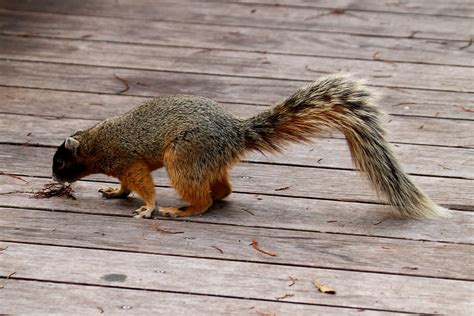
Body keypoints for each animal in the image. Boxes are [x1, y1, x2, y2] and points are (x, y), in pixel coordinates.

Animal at [51, 73, 448, 220]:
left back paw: (183, 210)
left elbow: (142, 185)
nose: (53, 179)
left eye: (60, 163)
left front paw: (147, 207)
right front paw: (114, 193)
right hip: (205, 160)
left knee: (204, 197)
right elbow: (124, 185)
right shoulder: (121, 166)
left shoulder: (127, 160)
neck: (94, 143)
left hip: (184, 157)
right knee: (223, 188)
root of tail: (235, 133)